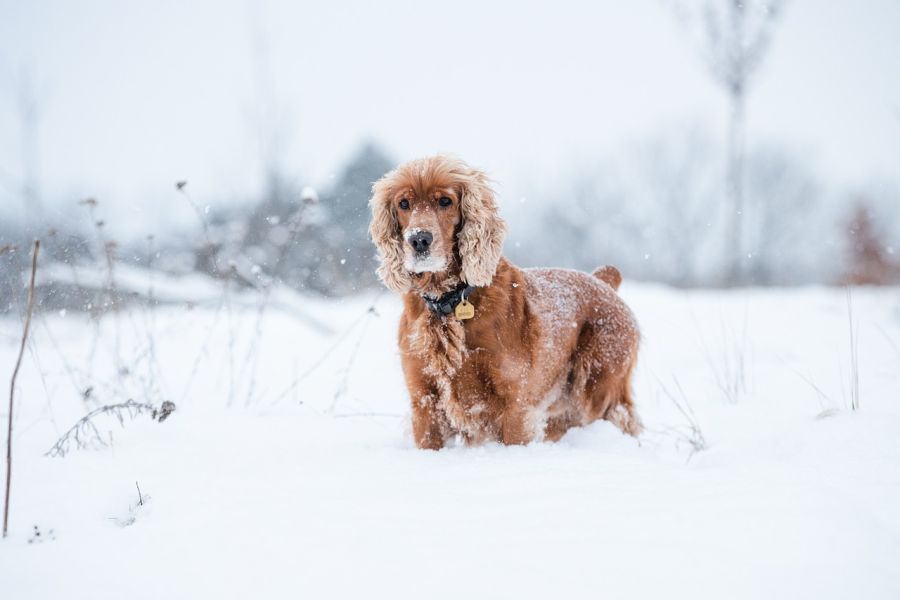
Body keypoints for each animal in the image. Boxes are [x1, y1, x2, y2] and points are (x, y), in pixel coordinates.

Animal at [370, 157, 644, 448]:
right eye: (403, 204)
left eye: (445, 201)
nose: (419, 239)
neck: (448, 301)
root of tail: (603, 281)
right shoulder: (424, 399)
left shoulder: (515, 402)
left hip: (600, 388)